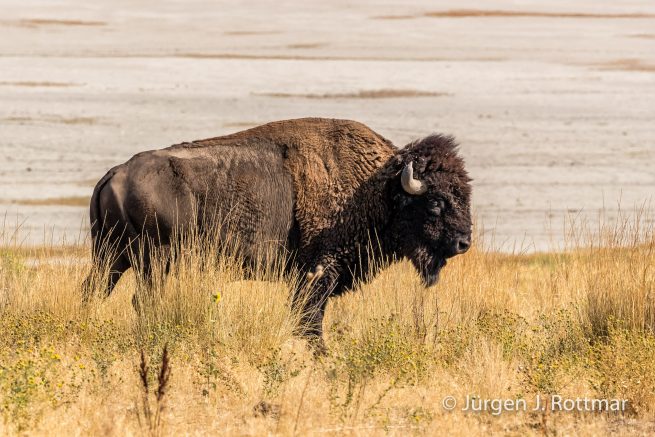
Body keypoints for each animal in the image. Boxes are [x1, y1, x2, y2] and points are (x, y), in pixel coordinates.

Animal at [84, 118, 472, 346]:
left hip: (112, 257)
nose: (463, 242)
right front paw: (320, 354)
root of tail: (116, 172)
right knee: (142, 299)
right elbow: (310, 319)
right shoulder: (318, 272)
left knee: (95, 291)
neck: (376, 188)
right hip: (153, 260)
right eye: (436, 201)